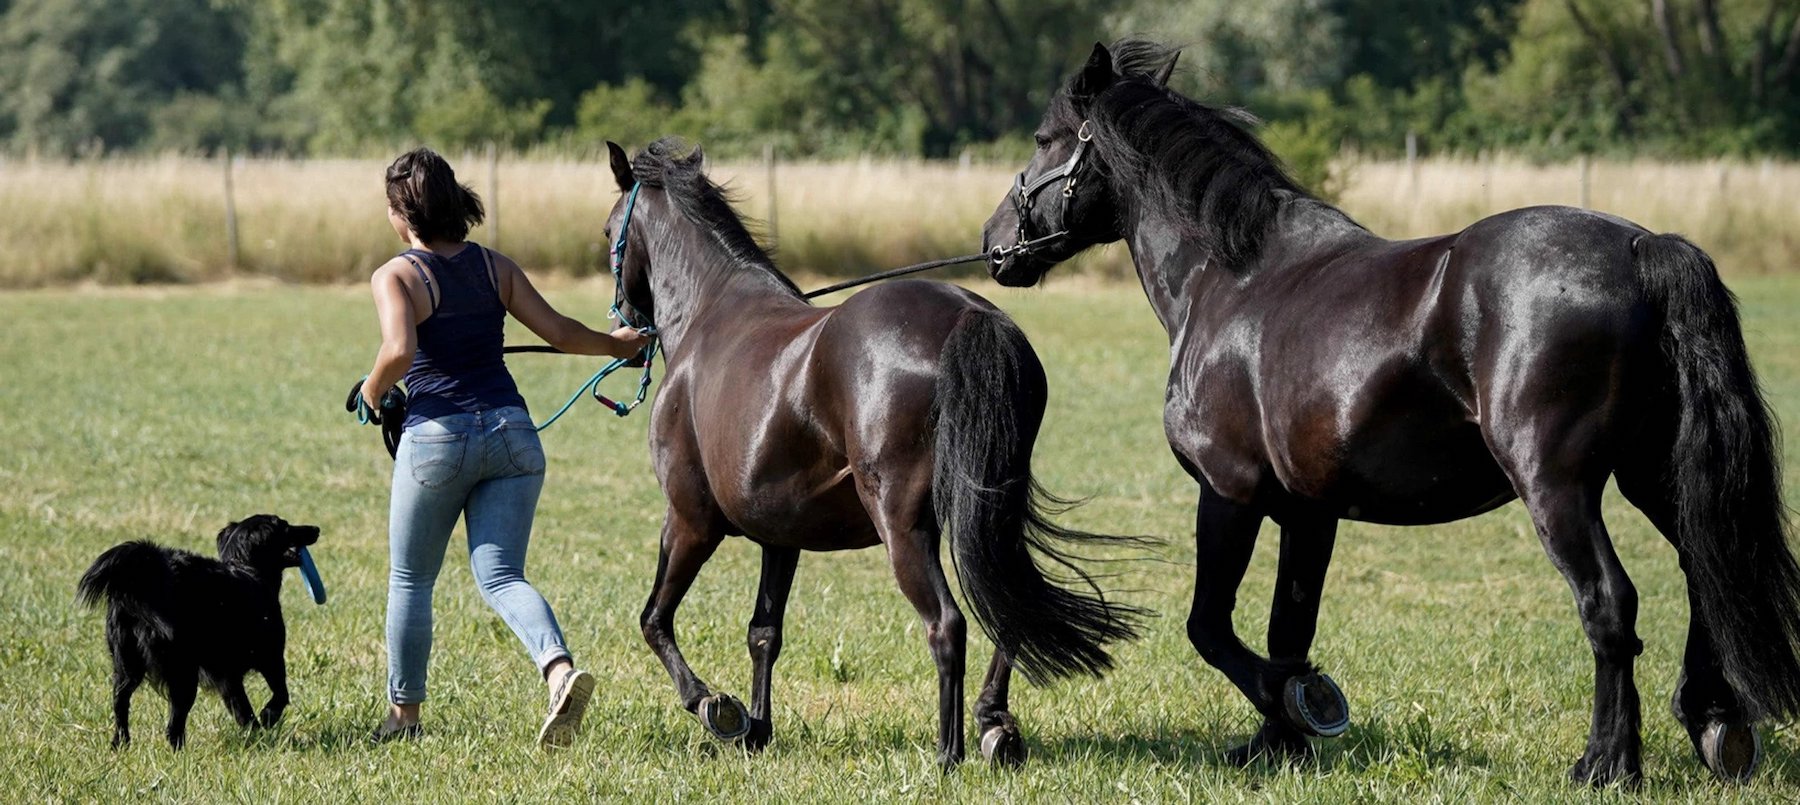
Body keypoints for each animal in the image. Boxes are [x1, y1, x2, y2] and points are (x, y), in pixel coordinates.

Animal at [76, 518, 320, 749]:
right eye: (285, 525)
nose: (316, 529)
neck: (246, 568)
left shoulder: (228, 677)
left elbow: (242, 709)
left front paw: (256, 733)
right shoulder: (271, 657)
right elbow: (281, 693)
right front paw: (268, 718)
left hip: (126, 665)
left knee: (120, 703)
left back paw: (121, 743)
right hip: (183, 671)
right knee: (174, 724)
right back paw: (179, 751)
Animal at [604, 138, 1137, 770]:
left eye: (609, 230)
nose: (623, 326)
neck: (711, 314)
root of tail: (970, 315)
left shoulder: (690, 520)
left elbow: (654, 620)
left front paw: (716, 708)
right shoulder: (780, 536)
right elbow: (764, 632)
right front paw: (757, 729)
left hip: (901, 526)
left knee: (948, 624)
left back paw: (949, 753)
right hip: (986, 513)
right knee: (1007, 608)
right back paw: (995, 727)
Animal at [986, 40, 1800, 785]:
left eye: (1045, 139)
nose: (995, 244)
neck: (1229, 281)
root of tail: (1639, 248)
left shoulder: (1228, 492)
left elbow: (1211, 626)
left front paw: (1302, 707)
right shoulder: (1308, 510)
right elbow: (1288, 626)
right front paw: (1278, 743)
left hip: (1557, 486)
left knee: (1610, 604)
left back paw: (1607, 762)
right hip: (1654, 475)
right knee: (1705, 571)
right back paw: (1715, 724)